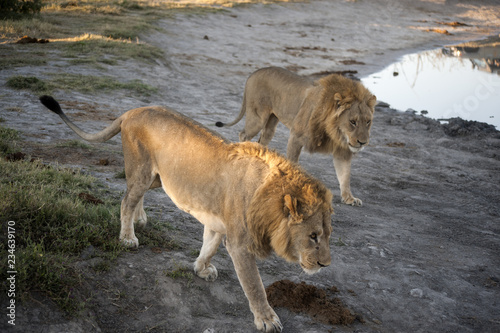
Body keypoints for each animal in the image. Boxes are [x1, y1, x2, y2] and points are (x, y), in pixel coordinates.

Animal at [39, 94, 334, 330]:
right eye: (313, 236)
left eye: (327, 235)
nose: (325, 265)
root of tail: (133, 110)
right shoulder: (240, 244)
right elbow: (255, 285)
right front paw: (267, 319)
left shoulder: (218, 222)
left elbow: (209, 246)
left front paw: (201, 269)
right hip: (142, 169)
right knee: (125, 200)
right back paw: (128, 236)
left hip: (158, 177)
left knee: (134, 196)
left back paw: (140, 218)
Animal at [215, 66, 376, 205]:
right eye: (352, 122)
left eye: (368, 121)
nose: (363, 142)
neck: (334, 131)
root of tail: (255, 72)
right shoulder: (296, 136)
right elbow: (293, 162)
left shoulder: (343, 149)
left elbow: (345, 175)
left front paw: (349, 198)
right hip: (258, 118)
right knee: (243, 134)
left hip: (271, 123)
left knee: (262, 140)